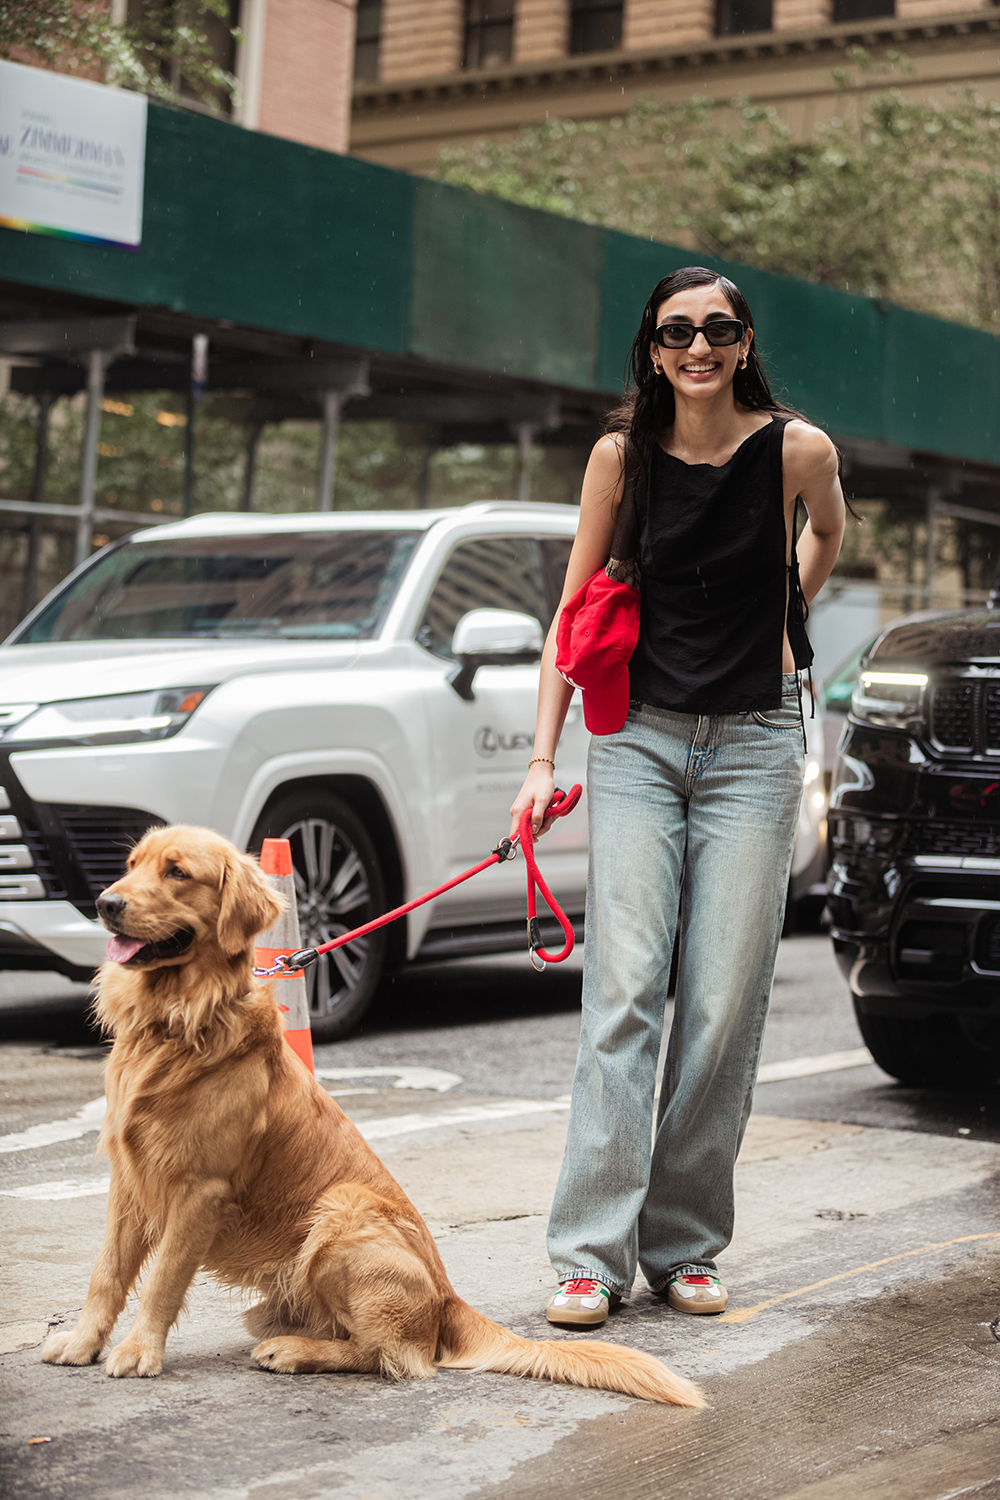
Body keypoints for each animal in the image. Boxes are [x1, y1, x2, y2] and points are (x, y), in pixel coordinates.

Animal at [43, 822, 707, 1404]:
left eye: (177, 872)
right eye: (132, 866)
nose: (104, 903)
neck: (176, 1021)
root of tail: (446, 1298)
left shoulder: (200, 1189)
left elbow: (161, 1279)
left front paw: (138, 1352)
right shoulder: (129, 1179)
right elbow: (107, 1272)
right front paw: (82, 1342)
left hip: (342, 1213)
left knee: (392, 1355)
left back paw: (295, 1351)